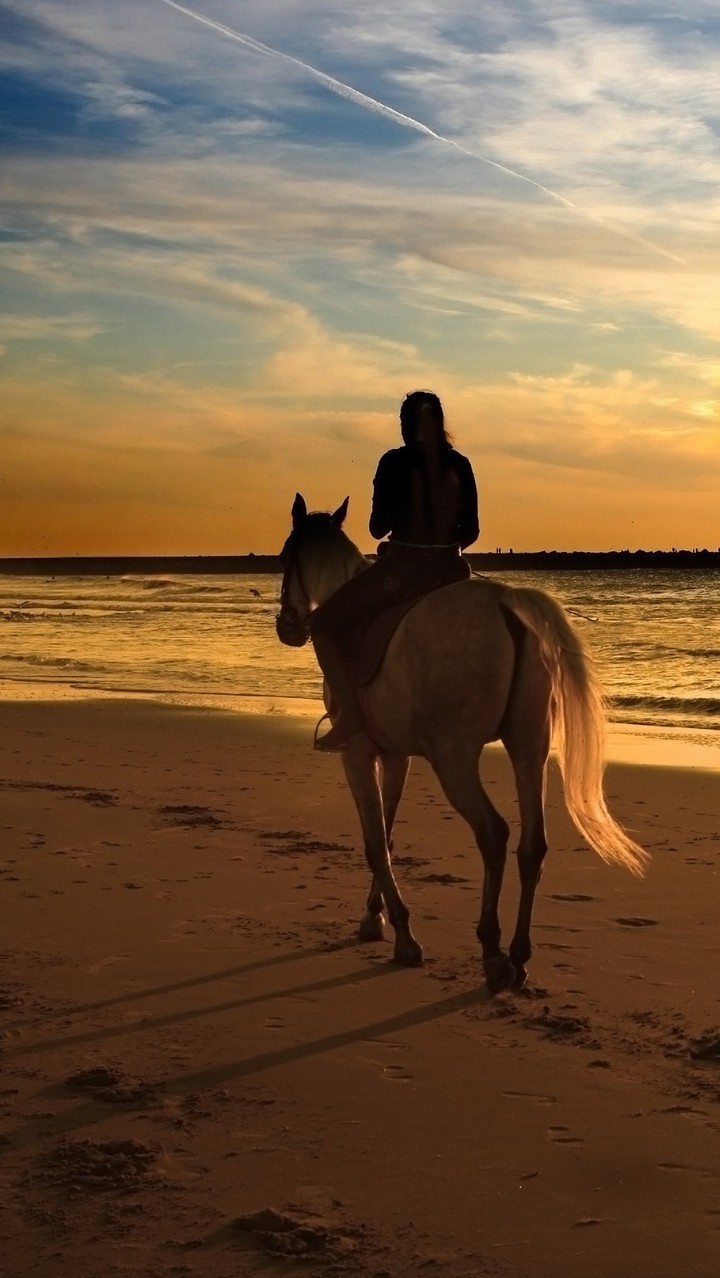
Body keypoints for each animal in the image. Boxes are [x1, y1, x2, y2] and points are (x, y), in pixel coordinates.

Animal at [276, 493, 648, 993]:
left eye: (284, 558)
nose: (288, 627)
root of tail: (508, 606)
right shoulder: (396, 756)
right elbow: (387, 835)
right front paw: (375, 918)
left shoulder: (357, 755)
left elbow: (374, 841)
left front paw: (402, 936)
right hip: (527, 748)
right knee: (532, 844)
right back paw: (519, 955)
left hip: (454, 758)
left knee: (492, 832)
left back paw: (492, 953)